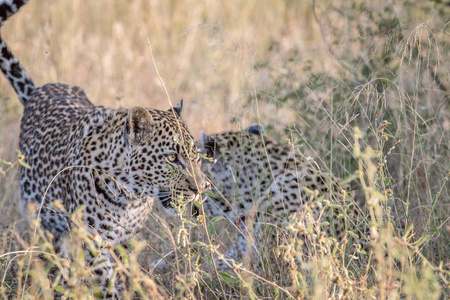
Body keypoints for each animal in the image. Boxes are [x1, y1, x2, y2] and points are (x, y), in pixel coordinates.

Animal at [0, 1, 207, 298]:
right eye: (171, 158)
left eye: (196, 157)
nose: (201, 188)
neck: (130, 198)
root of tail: (39, 90)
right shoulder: (91, 240)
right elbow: (105, 277)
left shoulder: (126, 240)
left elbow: (124, 272)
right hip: (40, 218)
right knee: (53, 255)